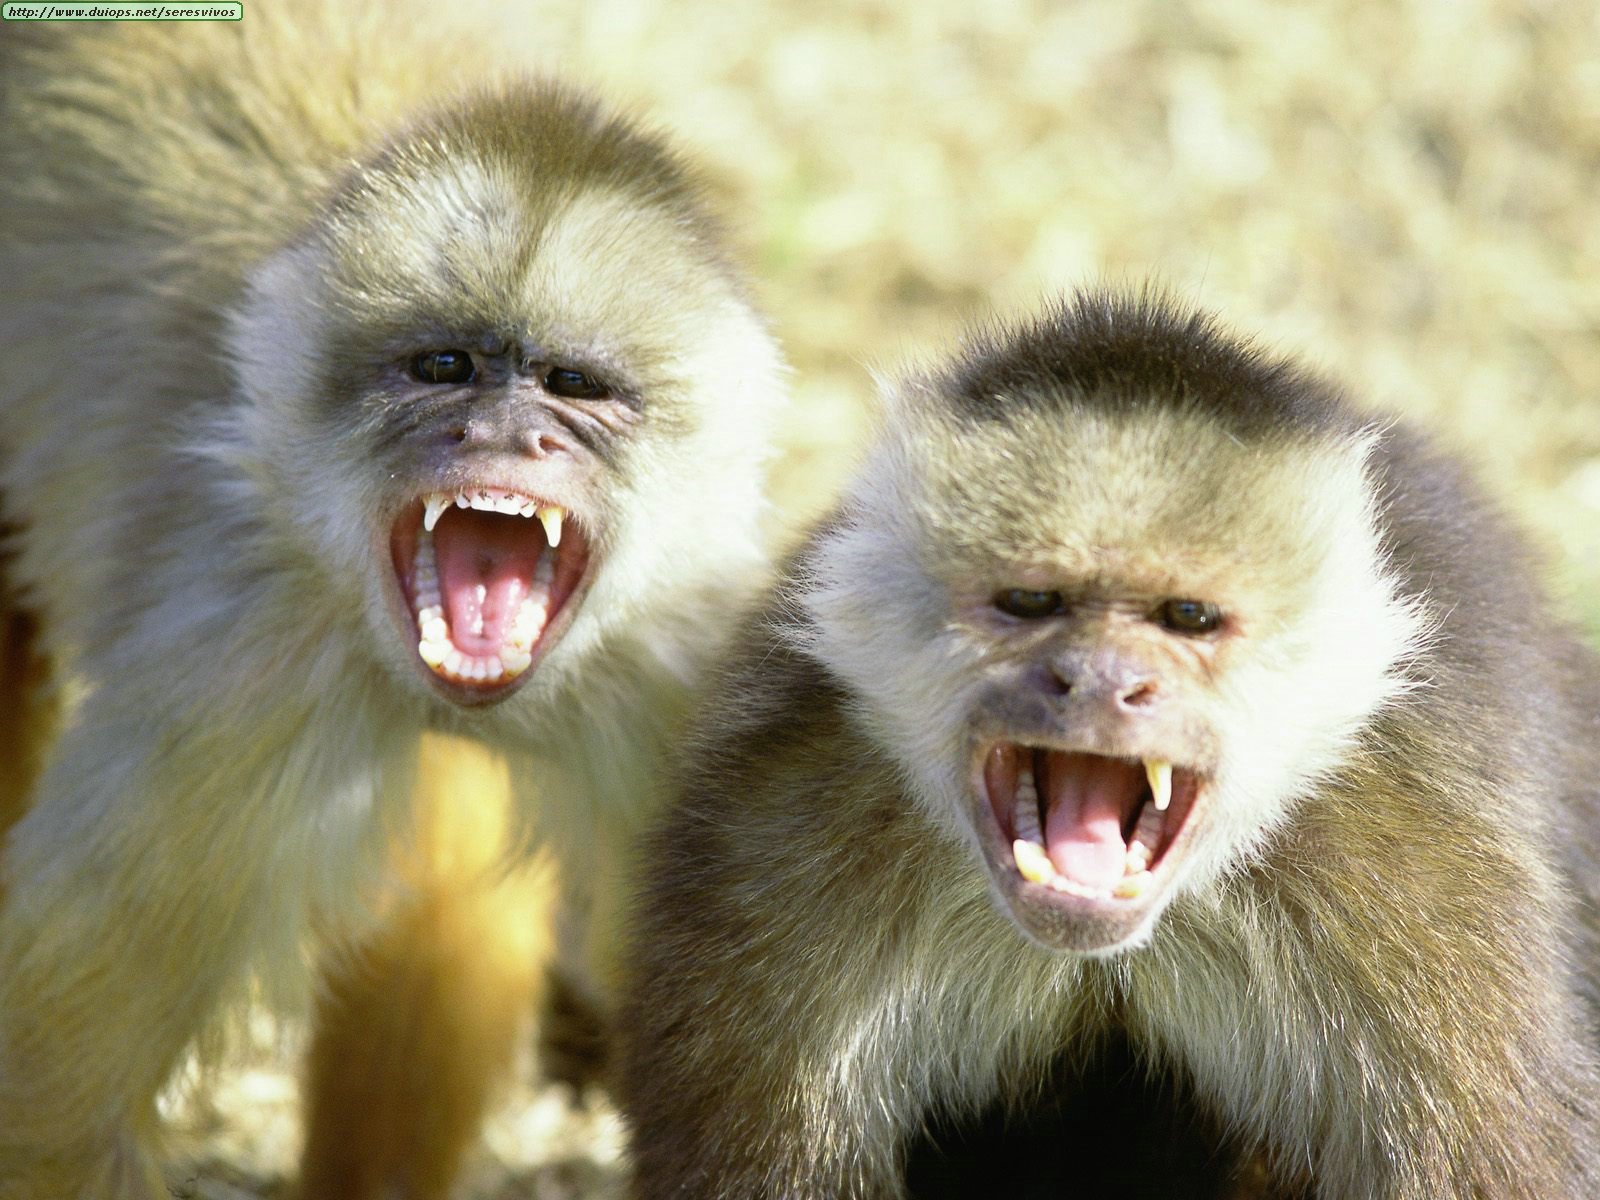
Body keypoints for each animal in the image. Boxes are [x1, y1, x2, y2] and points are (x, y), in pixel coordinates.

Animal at [0, 6, 787, 1196]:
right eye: (444, 367)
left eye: (571, 387)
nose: (501, 433)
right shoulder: (235, 680)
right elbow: (49, 1100)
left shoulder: (688, 675)